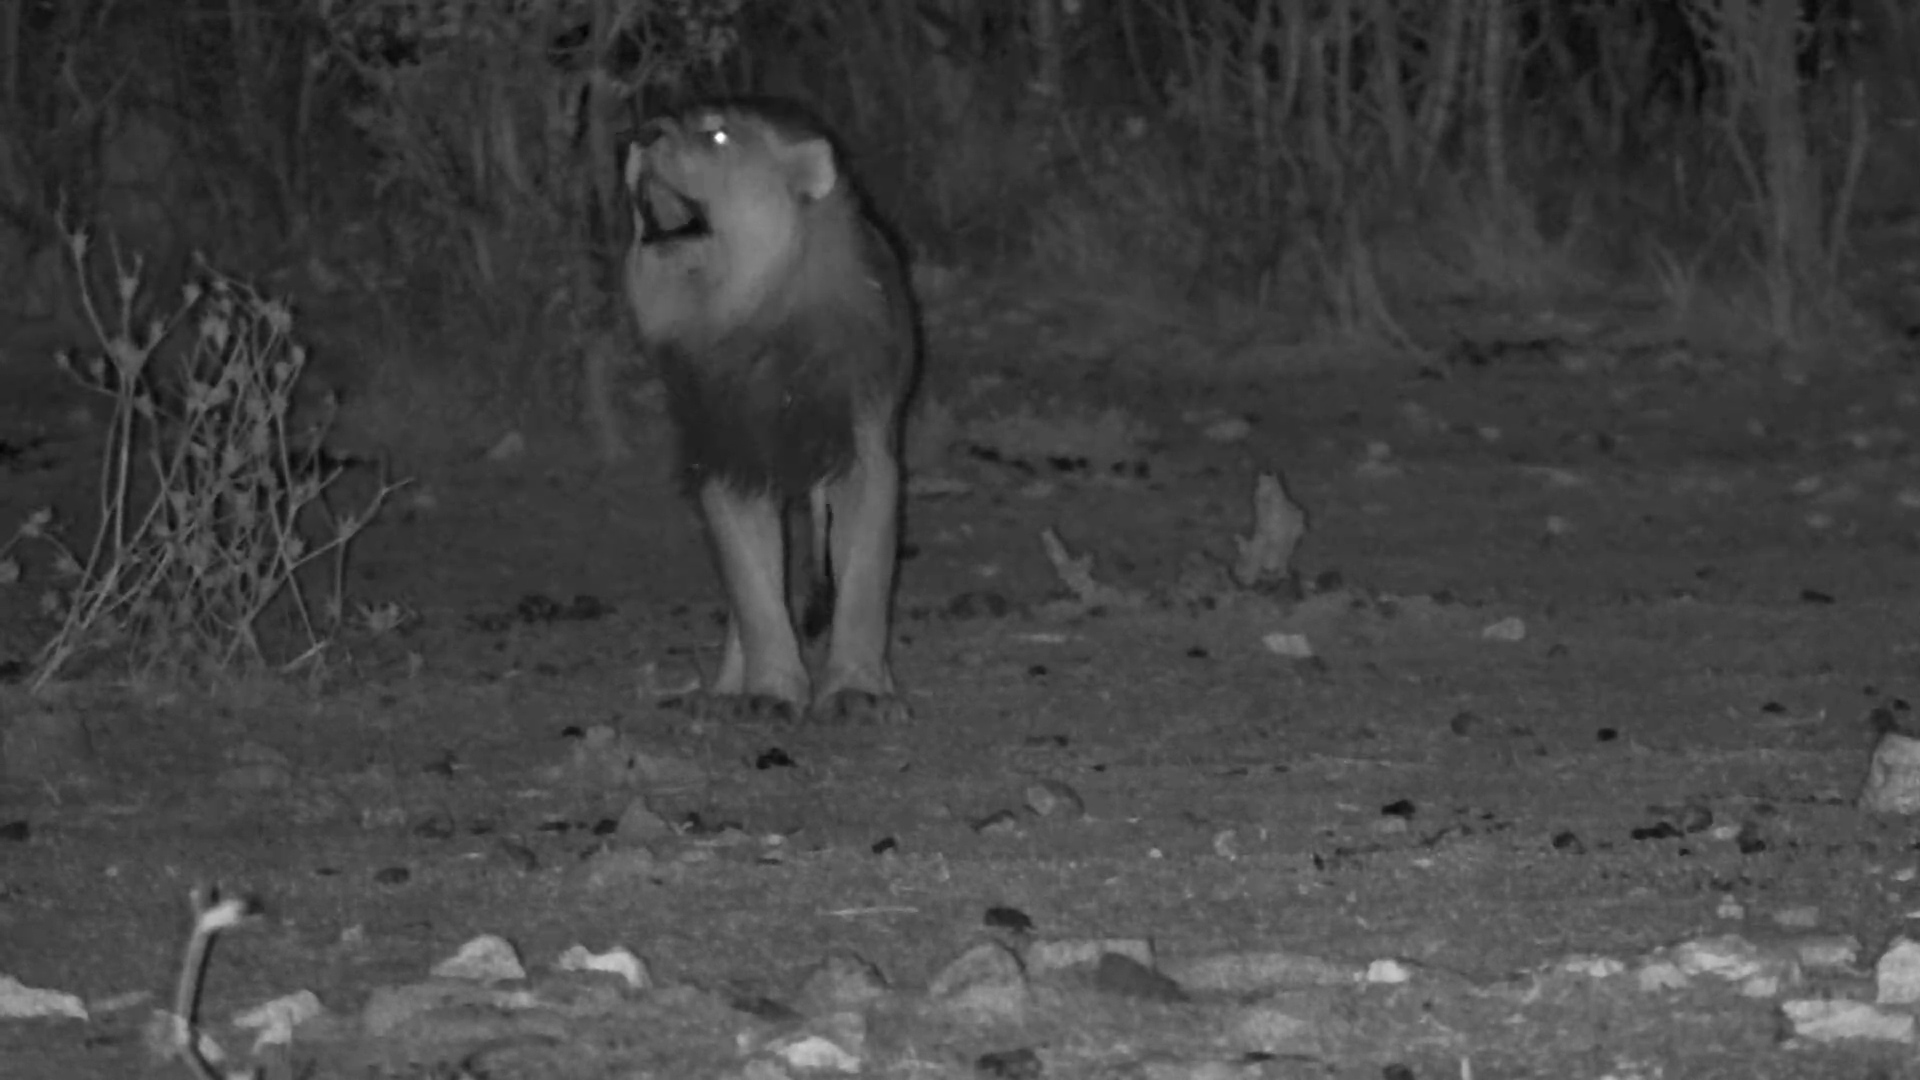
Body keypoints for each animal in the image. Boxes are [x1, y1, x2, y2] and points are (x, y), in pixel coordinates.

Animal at [621, 96, 920, 725]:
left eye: (717, 135)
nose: (641, 133)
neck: (739, 312)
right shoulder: (726, 458)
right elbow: (755, 592)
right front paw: (769, 691)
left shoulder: (863, 454)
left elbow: (864, 580)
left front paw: (859, 690)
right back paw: (726, 689)